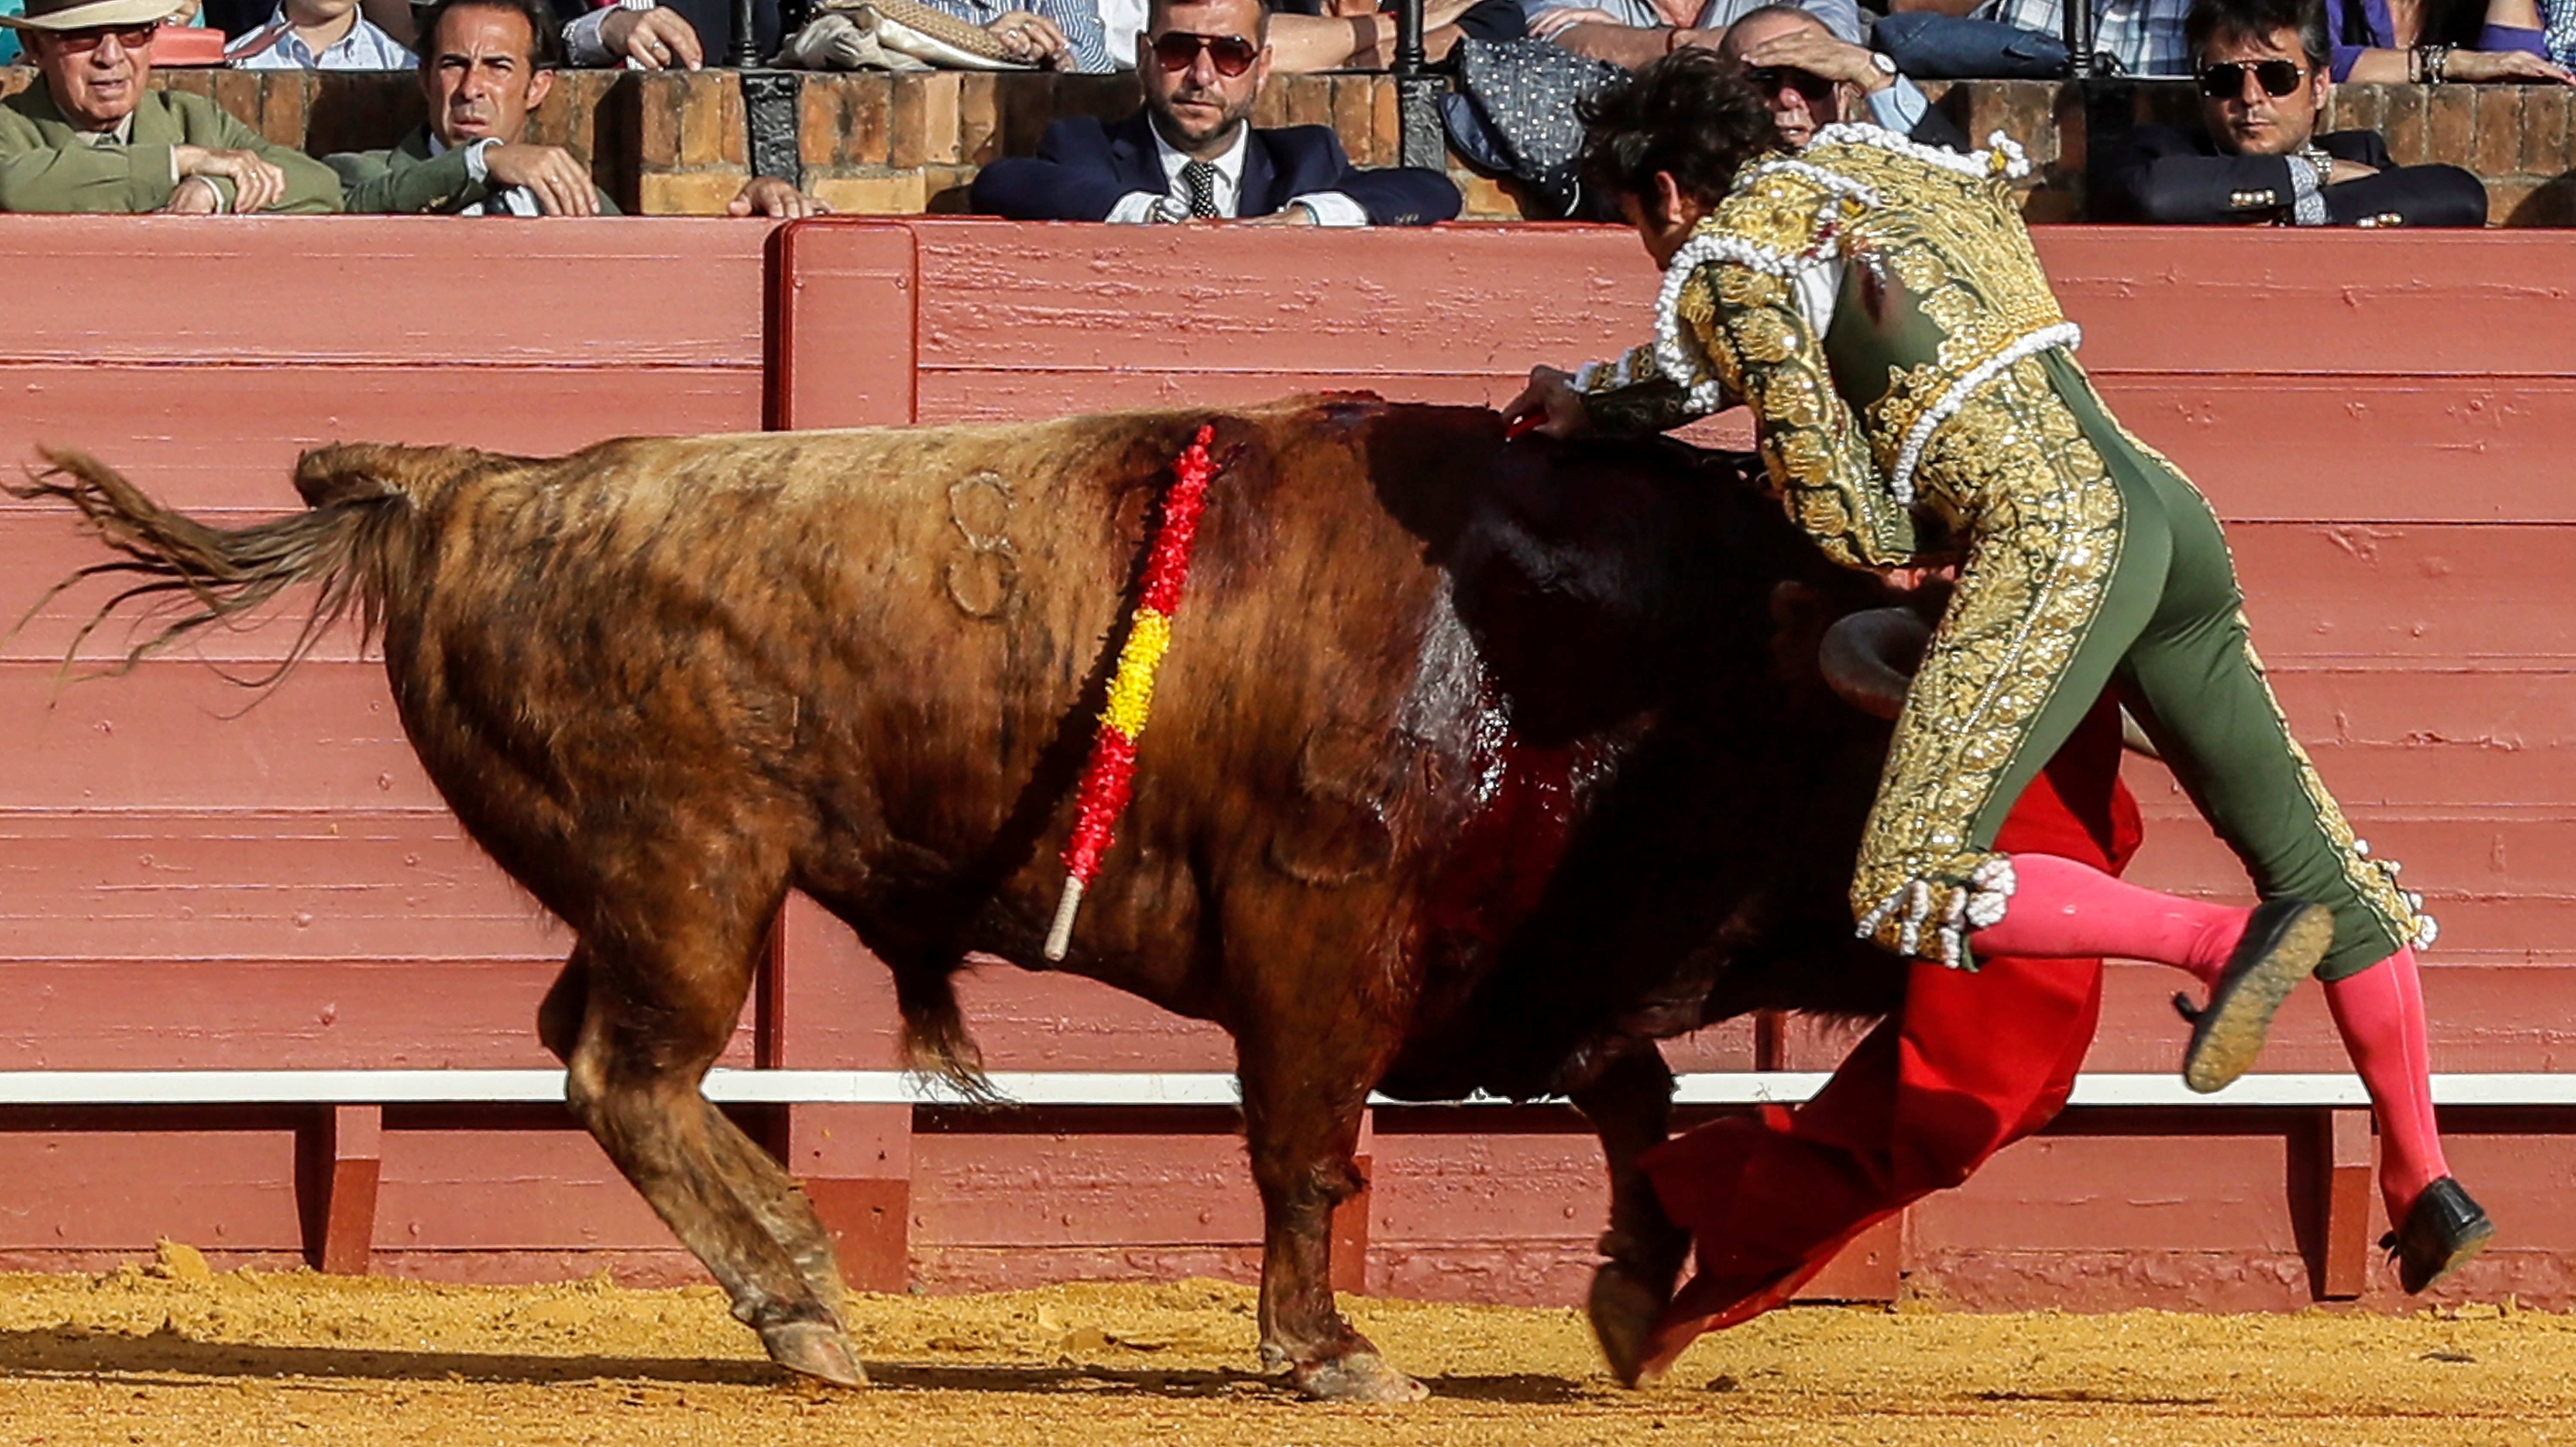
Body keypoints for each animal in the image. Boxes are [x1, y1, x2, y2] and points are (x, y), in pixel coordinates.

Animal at [25, 391, 1917, 1401]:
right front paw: (1331, 1350)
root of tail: (483, 480)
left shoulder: (1543, 972)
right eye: (1872, 754)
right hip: (696, 871)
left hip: (652, 893)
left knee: (596, 1053)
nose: (1932, 935)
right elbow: (1309, 1153)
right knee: (629, 1068)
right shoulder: (1320, 944)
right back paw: (804, 1293)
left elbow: (1645, 1106)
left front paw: (1636, 1300)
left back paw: (791, 1287)